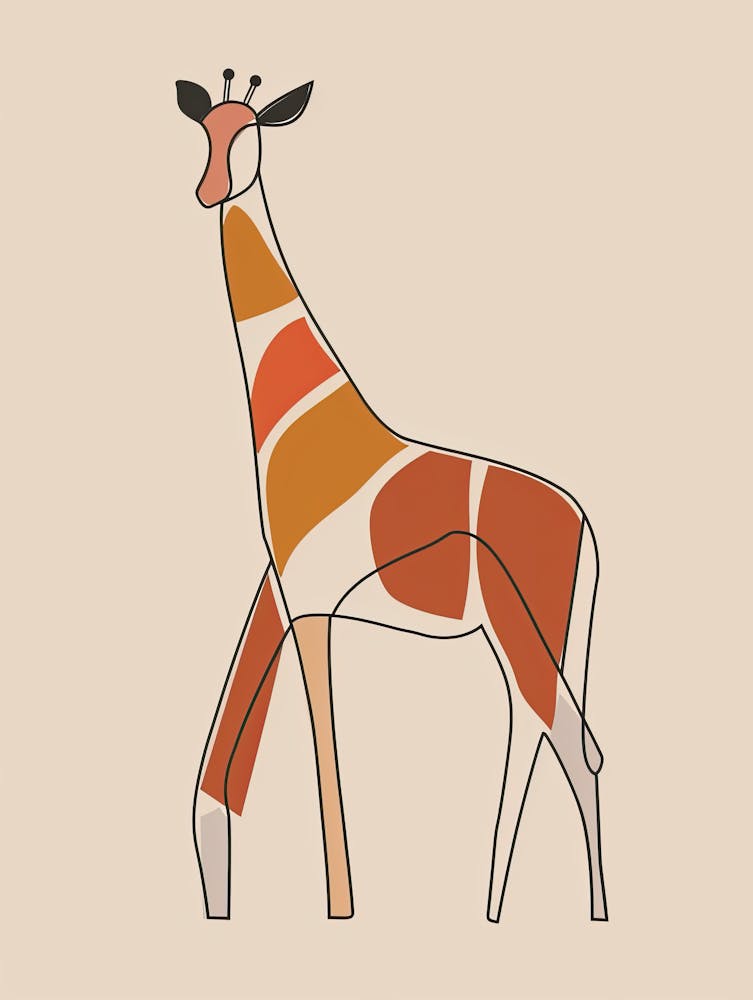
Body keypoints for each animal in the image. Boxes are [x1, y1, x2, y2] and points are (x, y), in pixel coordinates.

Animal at [176, 70, 608, 924]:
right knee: (540, 733)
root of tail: (584, 526)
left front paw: (341, 911)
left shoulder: (311, 604)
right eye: (202, 130)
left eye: (250, 133)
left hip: (527, 627)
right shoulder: (275, 587)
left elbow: (319, 757)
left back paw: (585, 915)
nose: (207, 191)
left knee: (570, 745)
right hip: (528, 635)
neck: (298, 421)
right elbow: (218, 772)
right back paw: (494, 913)